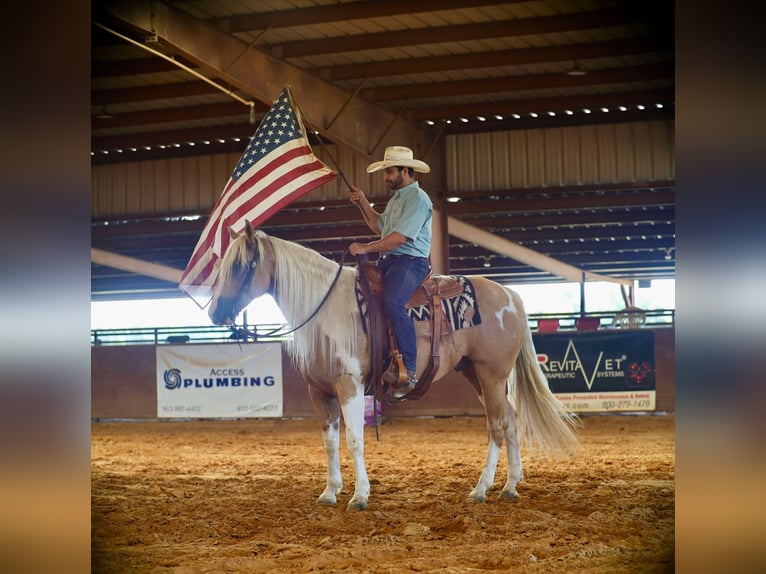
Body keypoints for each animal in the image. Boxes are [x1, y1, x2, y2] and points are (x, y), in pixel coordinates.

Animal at [207, 223, 580, 516]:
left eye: (240, 266)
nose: (214, 313)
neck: (327, 309)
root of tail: (511, 296)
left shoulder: (350, 385)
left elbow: (354, 440)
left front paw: (359, 496)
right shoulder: (319, 390)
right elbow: (329, 442)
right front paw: (330, 492)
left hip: (491, 373)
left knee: (498, 426)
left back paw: (481, 489)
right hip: (476, 372)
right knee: (512, 420)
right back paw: (510, 486)